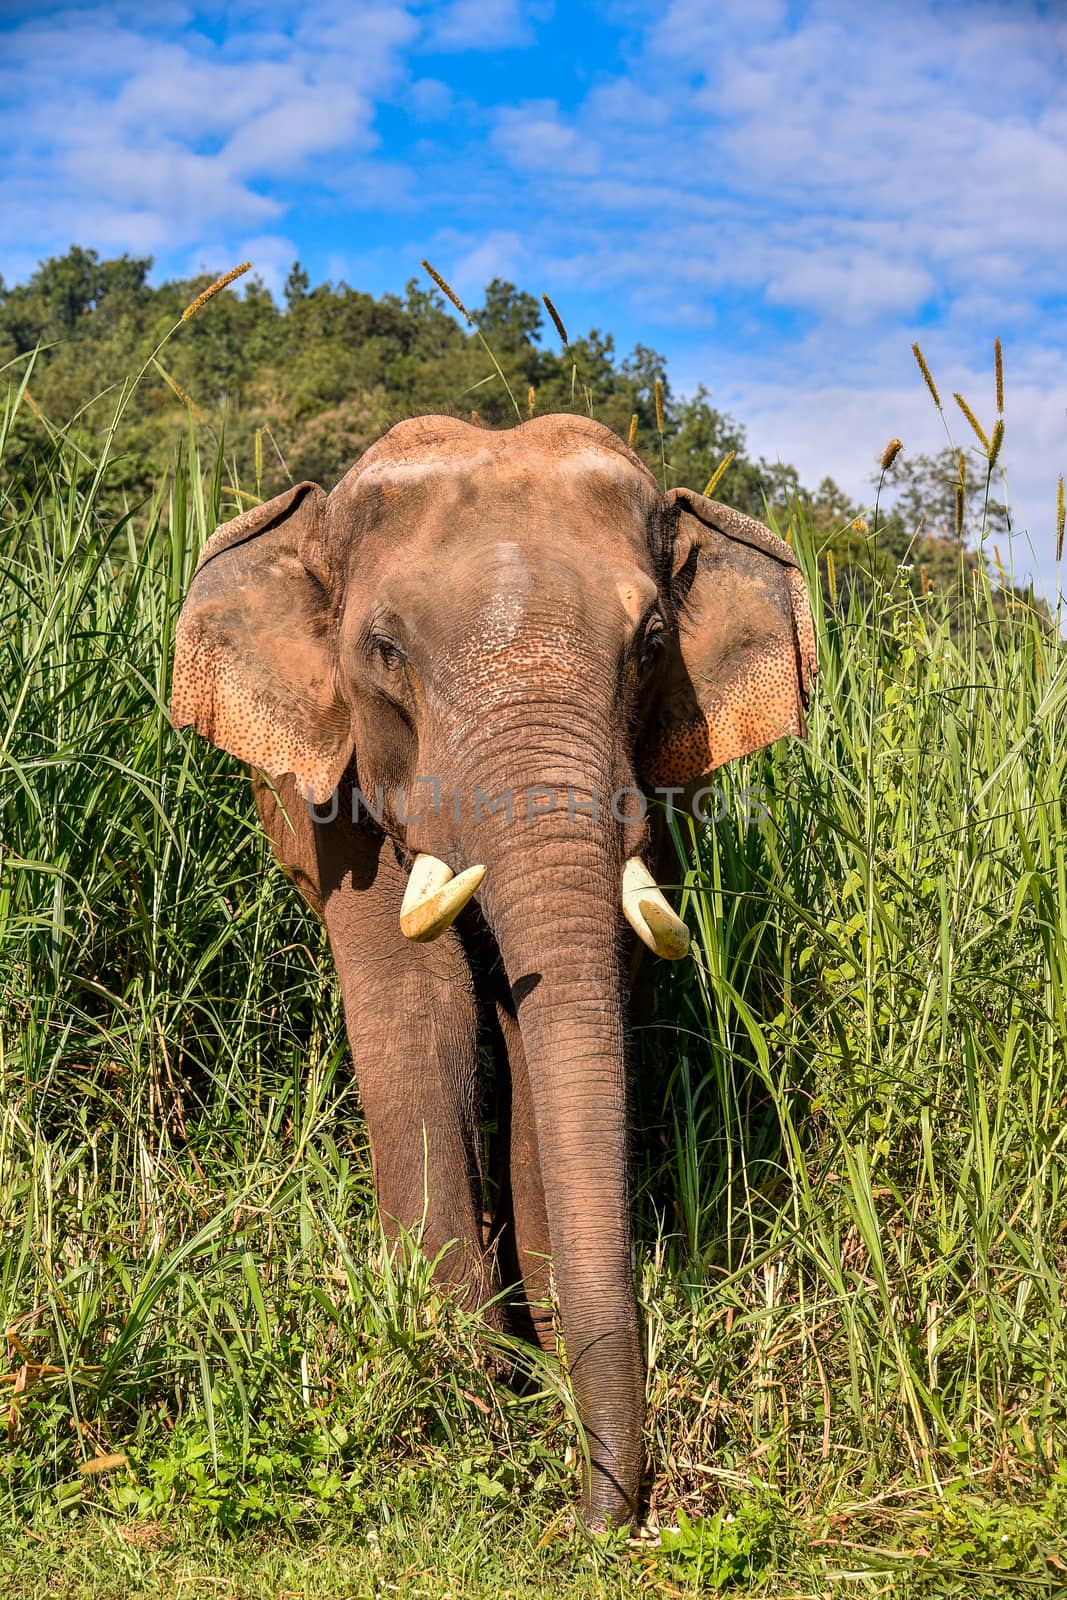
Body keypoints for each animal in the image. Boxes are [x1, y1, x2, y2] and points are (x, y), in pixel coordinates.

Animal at [168, 412, 819, 1523]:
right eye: (383, 650)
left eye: (652, 646)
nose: (602, 1518)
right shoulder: (342, 803)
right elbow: (418, 1007)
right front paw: (467, 1385)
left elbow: (552, 1015)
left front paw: (540, 1364)